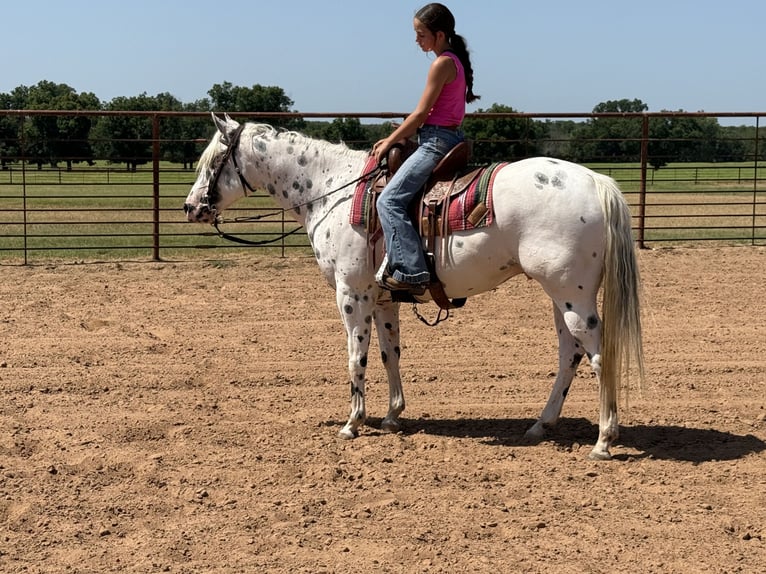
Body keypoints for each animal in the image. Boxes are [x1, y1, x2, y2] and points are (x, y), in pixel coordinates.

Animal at [184, 113, 644, 460]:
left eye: (213, 159)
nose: (190, 207)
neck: (331, 190)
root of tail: (596, 182)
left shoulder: (351, 295)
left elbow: (355, 358)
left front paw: (352, 423)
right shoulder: (384, 299)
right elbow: (390, 355)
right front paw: (391, 416)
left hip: (572, 295)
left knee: (598, 355)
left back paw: (604, 440)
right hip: (559, 296)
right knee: (570, 354)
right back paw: (540, 424)